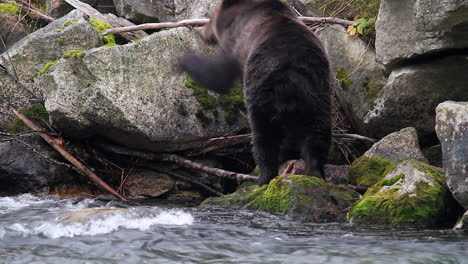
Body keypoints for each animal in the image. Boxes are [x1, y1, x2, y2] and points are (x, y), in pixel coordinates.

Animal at [177, 0, 330, 186]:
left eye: (209, 15)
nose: (202, 33)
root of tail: (292, 75)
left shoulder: (235, 41)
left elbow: (220, 75)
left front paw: (184, 61)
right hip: (318, 96)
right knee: (317, 136)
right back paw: (315, 172)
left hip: (263, 94)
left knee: (264, 137)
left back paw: (264, 177)